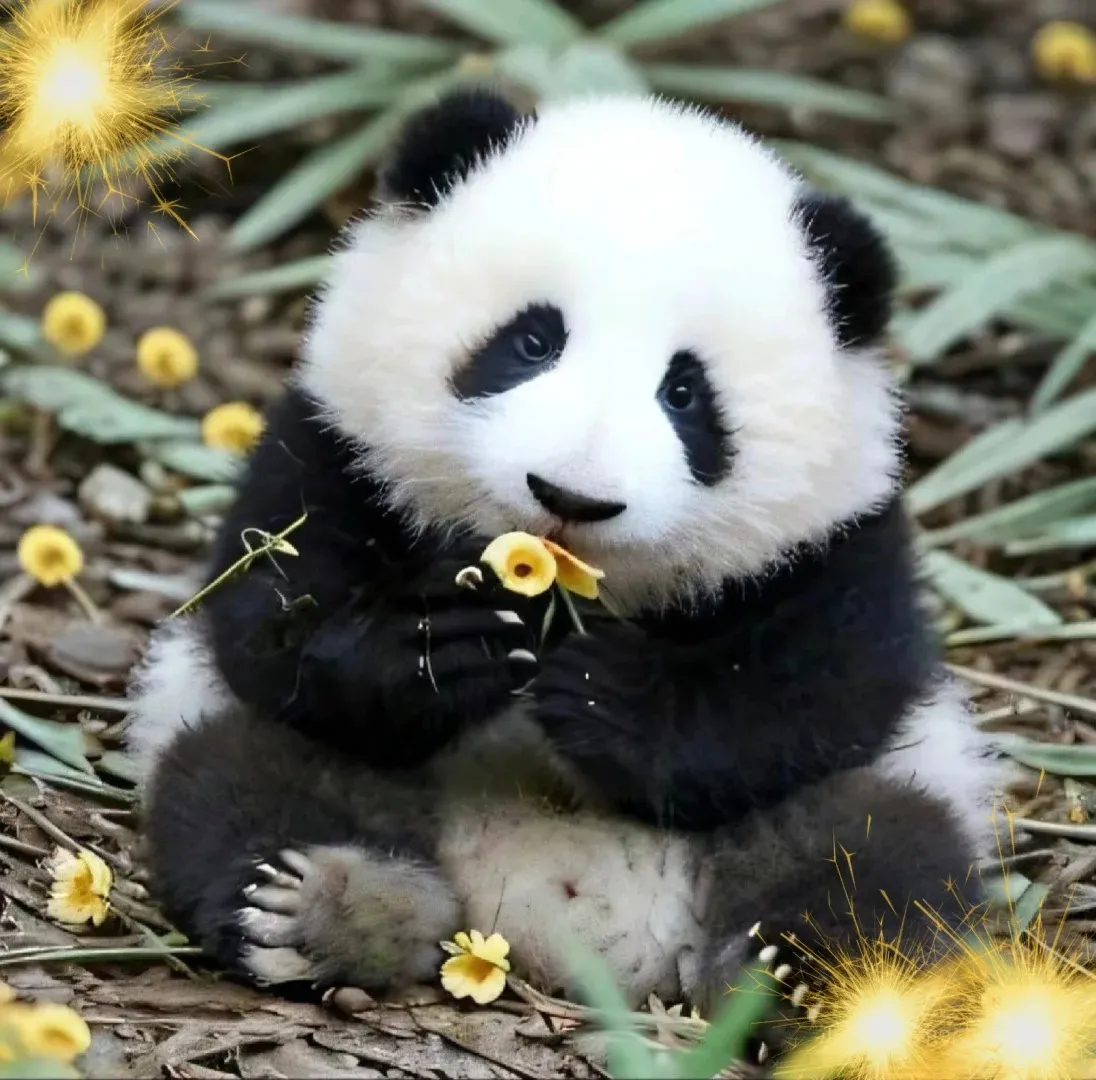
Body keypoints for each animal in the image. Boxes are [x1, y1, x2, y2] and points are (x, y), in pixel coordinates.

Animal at [125, 86, 1014, 1022]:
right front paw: (443, 644)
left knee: (877, 851)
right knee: (243, 770)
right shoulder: (331, 447)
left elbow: (818, 695)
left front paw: (599, 690)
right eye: (531, 342)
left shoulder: (840, 538)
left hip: (903, 784)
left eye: (685, 391)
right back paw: (329, 906)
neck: (584, 589)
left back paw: (802, 979)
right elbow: (273, 622)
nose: (572, 495)